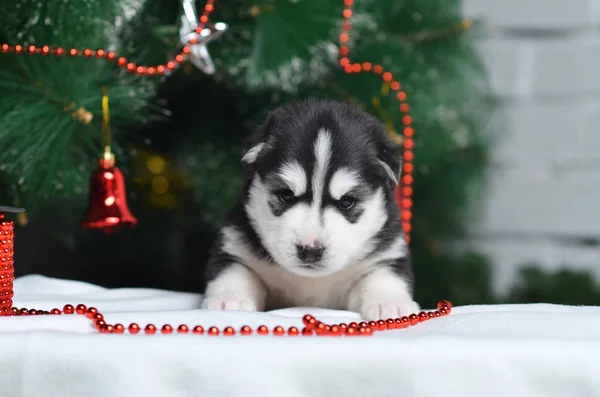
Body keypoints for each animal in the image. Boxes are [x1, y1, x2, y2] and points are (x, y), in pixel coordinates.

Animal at [202, 99, 418, 318]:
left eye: (346, 201)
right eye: (286, 195)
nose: (310, 250)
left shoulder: (387, 254)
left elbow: (382, 278)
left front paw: (389, 303)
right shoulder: (234, 244)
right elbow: (234, 273)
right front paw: (230, 300)